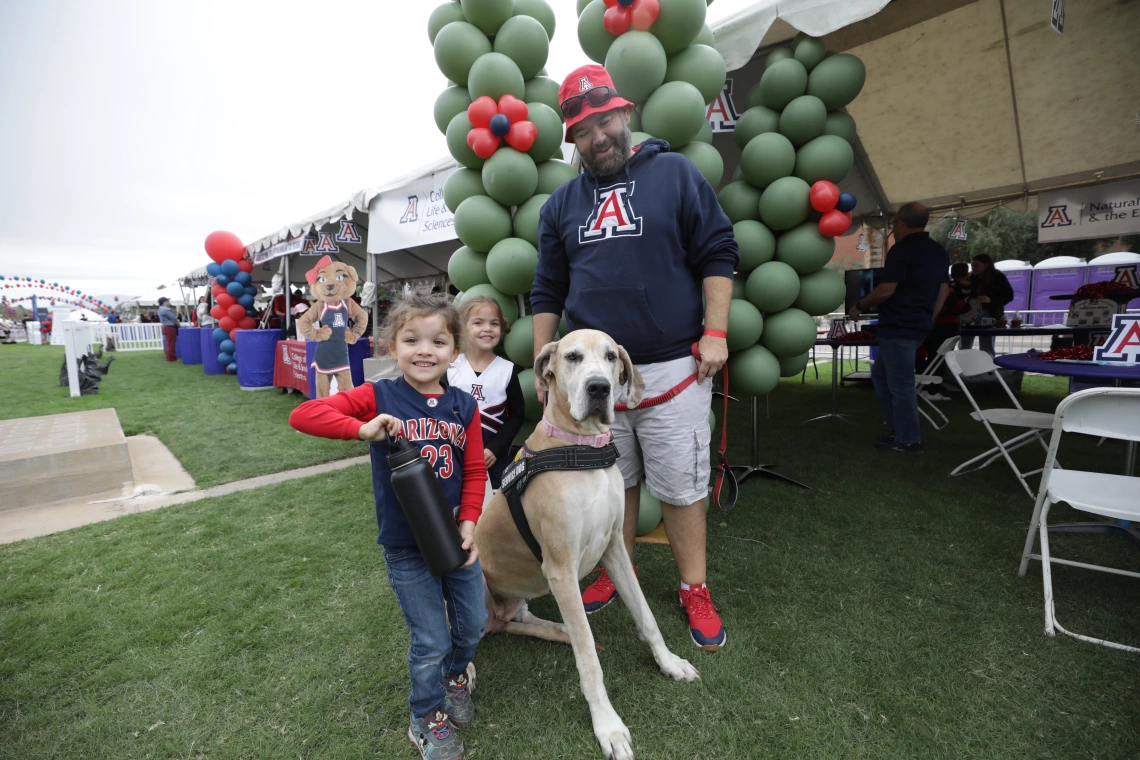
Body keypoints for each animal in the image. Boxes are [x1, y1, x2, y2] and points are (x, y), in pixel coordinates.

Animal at [469, 330, 697, 760]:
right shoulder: (560, 568)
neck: (583, 447)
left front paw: (669, 663)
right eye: (572, 357)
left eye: (610, 357)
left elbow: (647, 618)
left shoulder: (616, 548)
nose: (599, 388)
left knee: (517, 622)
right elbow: (589, 661)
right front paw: (608, 725)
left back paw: (559, 628)